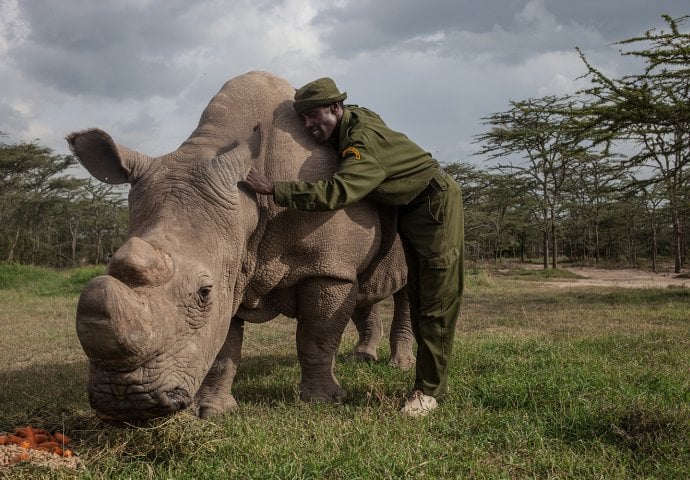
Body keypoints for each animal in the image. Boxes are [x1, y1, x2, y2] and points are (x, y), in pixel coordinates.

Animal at [68, 71, 414, 420]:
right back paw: (363, 358)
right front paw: (211, 411)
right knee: (364, 287)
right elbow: (222, 344)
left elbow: (316, 337)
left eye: (203, 292)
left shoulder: (327, 267)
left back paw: (399, 365)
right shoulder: (233, 262)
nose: (126, 401)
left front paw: (322, 401)